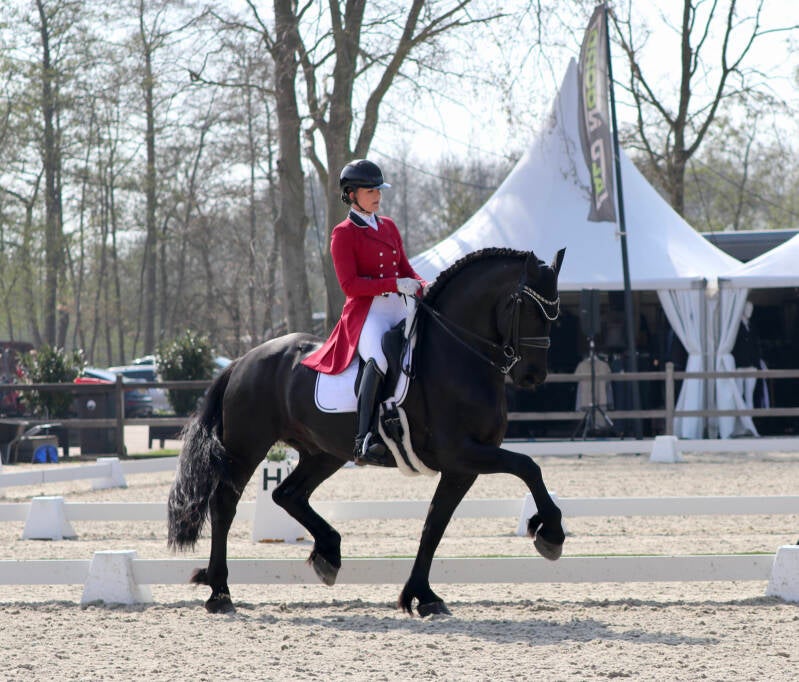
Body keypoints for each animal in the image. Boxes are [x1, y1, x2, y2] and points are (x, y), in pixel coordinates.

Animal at [167, 246, 567, 617]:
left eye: (556, 312)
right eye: (526, 307)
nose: (533, 376)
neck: (458, 356)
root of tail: (242, 360)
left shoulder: (461, 468)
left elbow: (434, 526)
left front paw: (423, 596)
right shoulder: (461, 452)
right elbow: (529, 466)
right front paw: (549, 532)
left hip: (323, 452)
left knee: (287, 494)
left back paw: (328, 553)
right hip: (247, 447)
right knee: (224, 505)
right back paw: (220, 592)